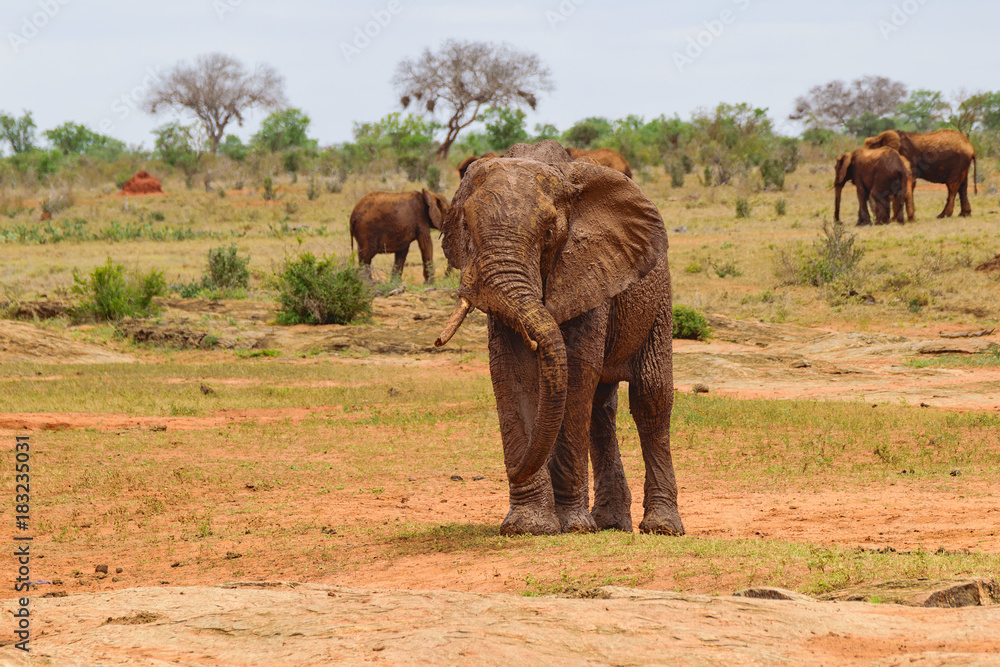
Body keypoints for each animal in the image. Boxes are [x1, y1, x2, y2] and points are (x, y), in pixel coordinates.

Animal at [435, 140, 682, 536]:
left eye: (549, 232)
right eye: (466, 228)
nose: (513, 468)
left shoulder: (588, 267)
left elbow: (577, 370)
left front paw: (572, 525)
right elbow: (513, 371)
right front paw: (528, 526)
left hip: (658, 297)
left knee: (650, 397)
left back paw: (661, 527)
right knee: (601, 409)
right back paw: (610, 523)